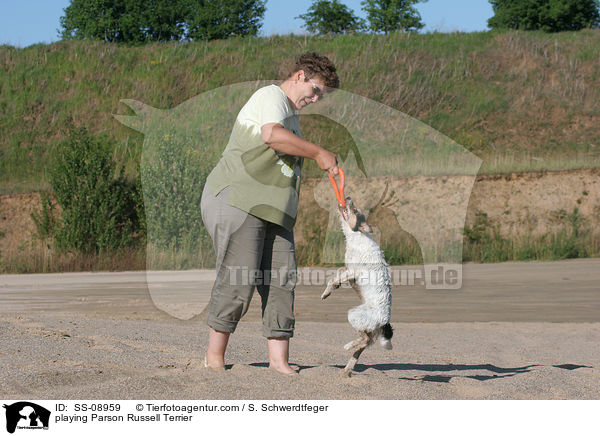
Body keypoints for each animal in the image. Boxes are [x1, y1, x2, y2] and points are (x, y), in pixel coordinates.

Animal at [322, 196, 392, 376]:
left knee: (364, 340)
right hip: (368, 331)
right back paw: (346, 369)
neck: (356, 235)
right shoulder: (348, 270)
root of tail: (384, 321)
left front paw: (328, 291)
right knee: (362, 346)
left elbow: (333, 279)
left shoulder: (353, 271)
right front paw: (331, 290)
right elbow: (337, 274)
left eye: (355, 211)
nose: (347, 197)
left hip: (354, 316)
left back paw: (348, 346)